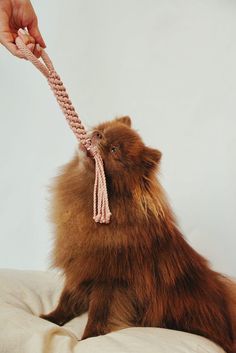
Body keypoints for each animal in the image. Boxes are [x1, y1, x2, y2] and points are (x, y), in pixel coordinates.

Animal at [41, 116, 236, 352]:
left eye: (114, 150)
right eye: (102, 130)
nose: (97, 135)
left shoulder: (110, 280)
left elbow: (98, 313)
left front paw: (88, 338)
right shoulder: (81, 268)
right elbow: (66, 300)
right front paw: (49, 318)